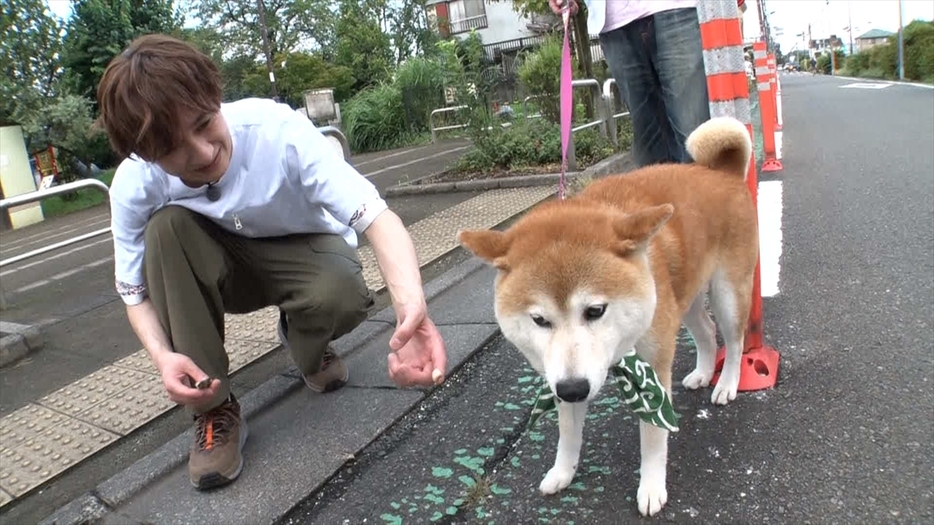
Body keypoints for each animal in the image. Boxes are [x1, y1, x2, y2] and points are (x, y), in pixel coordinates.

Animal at [458, 116, 760, 512]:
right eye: (539, 320)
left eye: (595, 310)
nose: (573, 389)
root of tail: (721, 173)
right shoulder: (561, 373)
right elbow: (567, 432)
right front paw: (562, 472)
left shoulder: (652, 367)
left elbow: (654, 436)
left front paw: (651, 486)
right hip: (685, 296)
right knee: (707, 332)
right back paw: (703, 372)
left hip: (728, 292)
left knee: (735, 341)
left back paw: (726, 384)